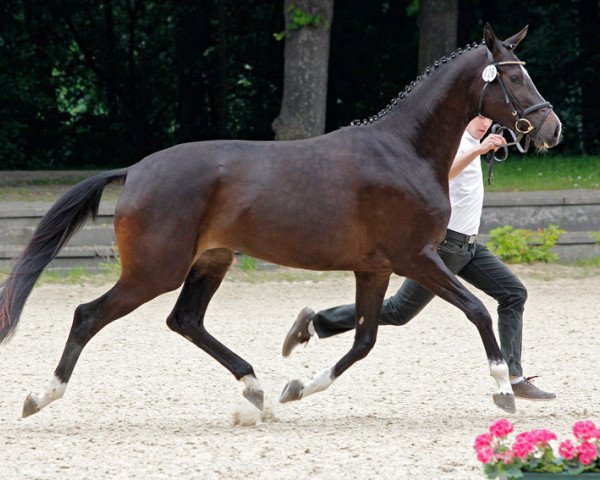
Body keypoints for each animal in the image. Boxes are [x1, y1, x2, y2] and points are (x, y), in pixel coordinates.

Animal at [1, 24, 564, 418]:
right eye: (514, 76)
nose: (552, 129)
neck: (404, 151)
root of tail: (135, 169)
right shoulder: (417, 258)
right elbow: (478, 310)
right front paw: (503, 390)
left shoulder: (375, 268)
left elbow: (363, 341)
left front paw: (297, 386)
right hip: (153, 271)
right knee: (88, 315)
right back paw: (39, 397)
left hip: (211, 261)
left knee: (185, 320)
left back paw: (255, 389)